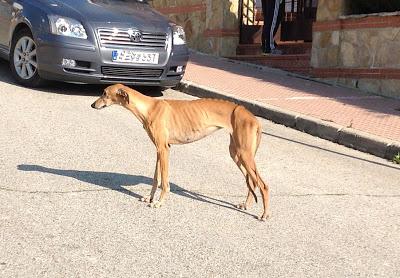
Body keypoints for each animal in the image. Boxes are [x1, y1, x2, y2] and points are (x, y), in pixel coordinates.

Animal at [92, 83, 270, 220]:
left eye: (104, 93)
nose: (93, 105)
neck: (149, 107)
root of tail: (253, 118)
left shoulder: (164, 149)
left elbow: (164, 181)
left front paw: (159, 202)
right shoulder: (160, 149)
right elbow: (156, 178)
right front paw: (150, 198)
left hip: (244, 154)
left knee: (263, 185)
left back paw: (264, 215)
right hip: (236, 153)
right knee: (252, 182)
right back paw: (245, 205)